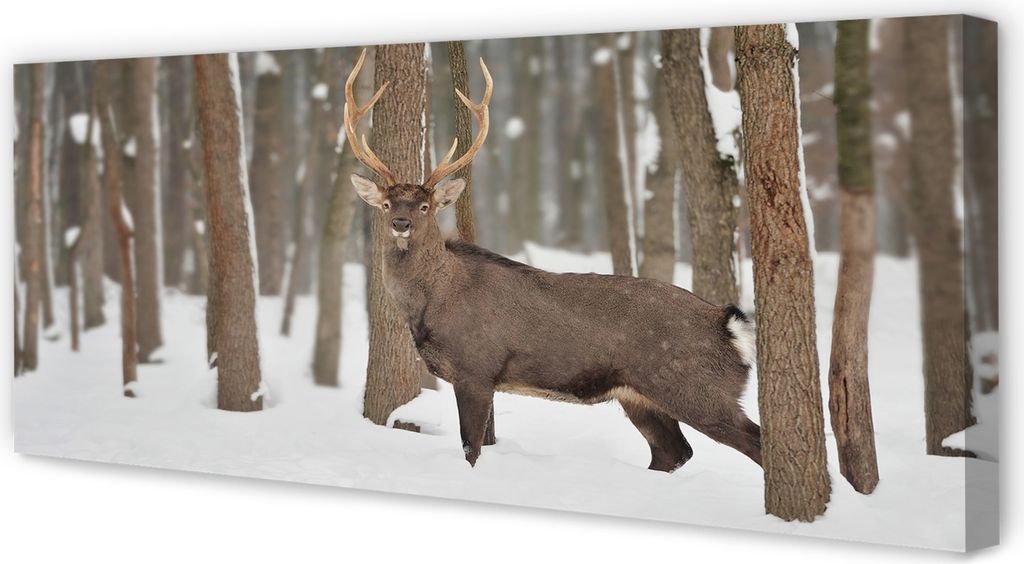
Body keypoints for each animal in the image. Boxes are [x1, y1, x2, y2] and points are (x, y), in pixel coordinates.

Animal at [344, 49, 762, 472]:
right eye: (386, 204)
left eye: (425, 206)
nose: (400, 223)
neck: (432, 303)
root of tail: (728, 324)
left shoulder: (476, 369)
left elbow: (470, 449)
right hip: (639, 396)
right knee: (674, 452)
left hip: (695, 388)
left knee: (753, 442)